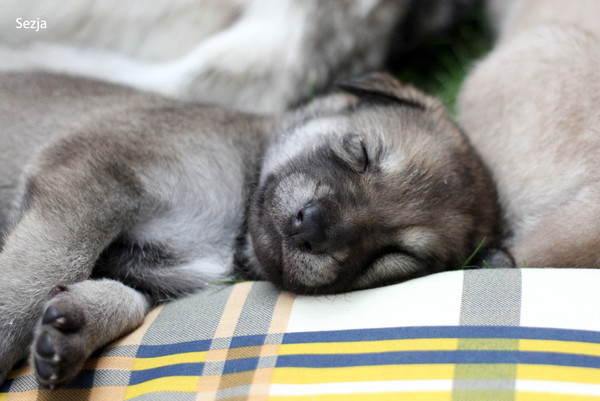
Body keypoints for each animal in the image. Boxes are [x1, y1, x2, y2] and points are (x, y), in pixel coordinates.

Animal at [0, 70, 504, 386]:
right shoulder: (96, 177)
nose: (312, 228)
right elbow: (40, 270)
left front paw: (74, 327)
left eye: (395, 255)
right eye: (362, 153)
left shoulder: (155, 271)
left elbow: (126, 297)